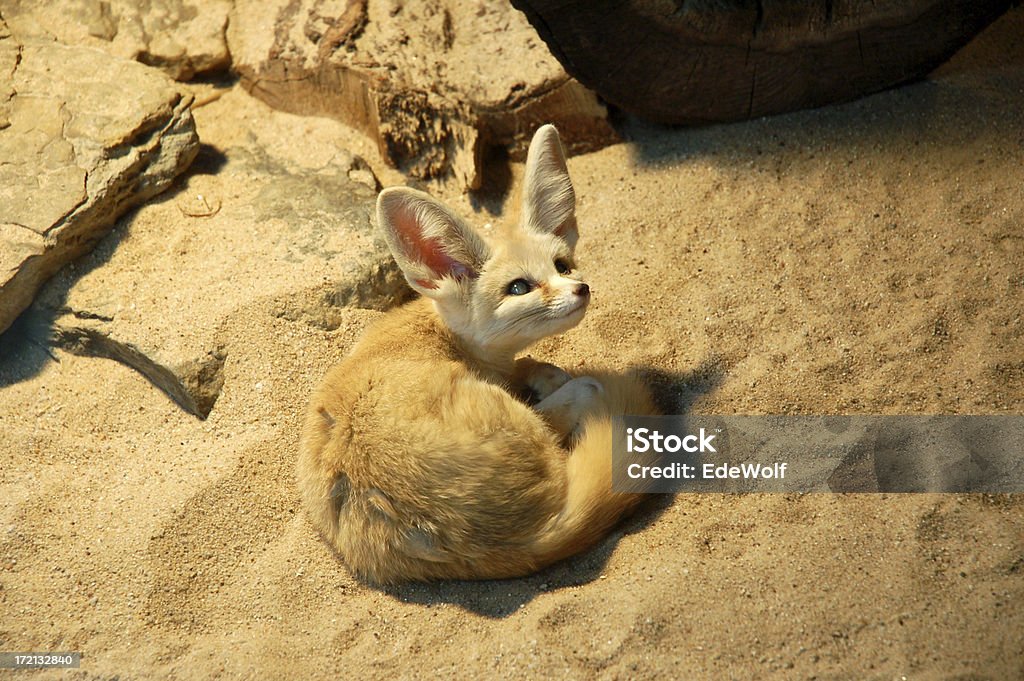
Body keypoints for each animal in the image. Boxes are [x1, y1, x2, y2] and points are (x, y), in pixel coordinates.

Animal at [299, 124, 659, 581]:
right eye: (519, 287)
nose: (581, 288)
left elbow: (525, 365)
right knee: (580, 400)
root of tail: (525, 541)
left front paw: (540, 371)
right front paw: (552, 378)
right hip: (527, 427)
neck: (442, 332)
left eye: (562, 265)